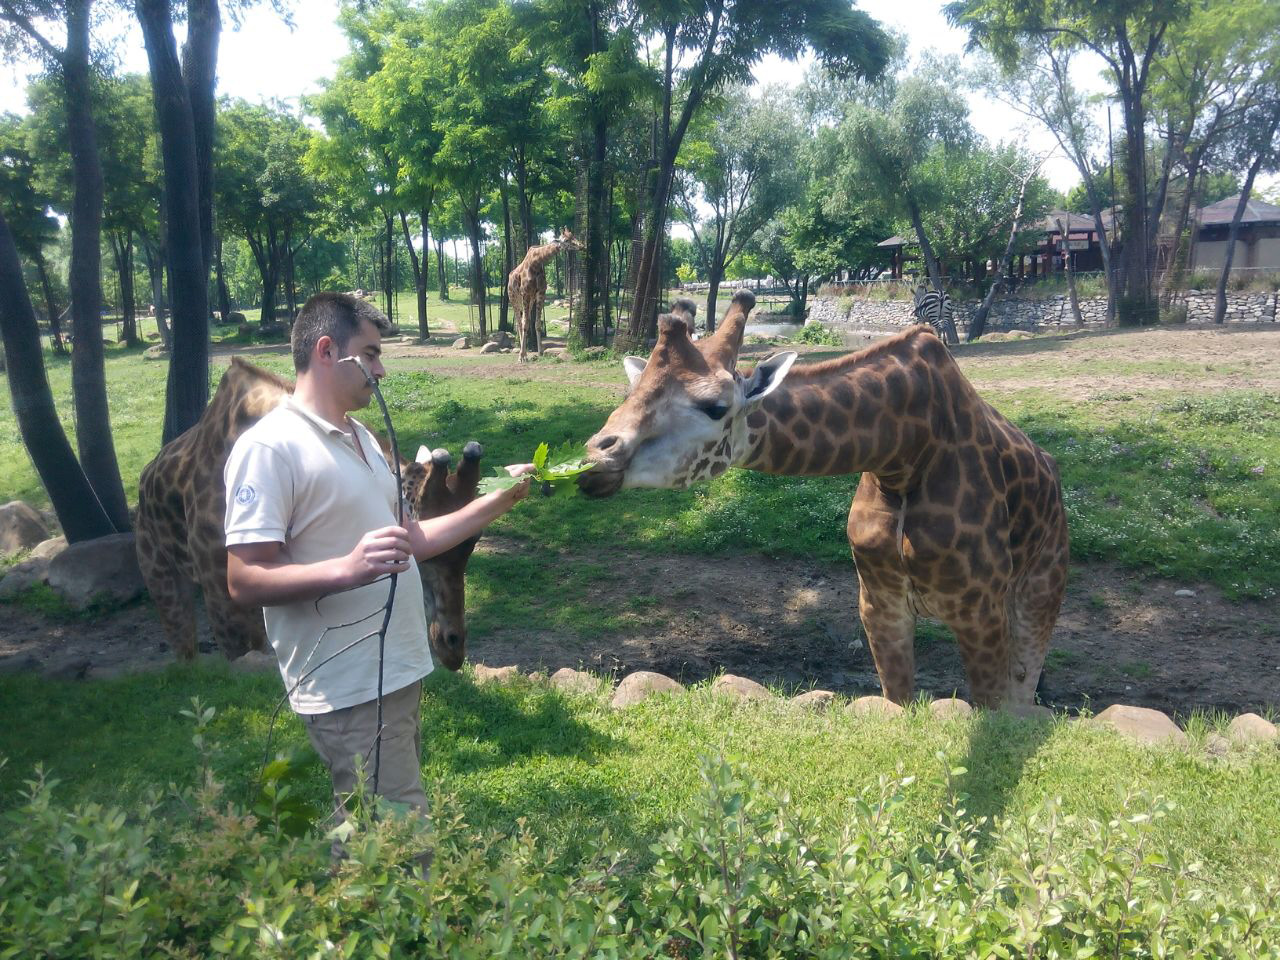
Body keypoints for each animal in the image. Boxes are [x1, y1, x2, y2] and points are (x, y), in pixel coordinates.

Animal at [135, 357, 486, 671]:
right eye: (427, 555)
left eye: (472, 546)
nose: (453, 648)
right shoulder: (223, 600)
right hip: (160, 574)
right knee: (184, 649)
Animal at [507, 228, 584, 362]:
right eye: (566, 240)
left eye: (573, 236)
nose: (581, 246)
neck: (537, 262)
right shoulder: (525, 293)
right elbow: (525, 324)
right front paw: (521, 356)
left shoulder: (540, 294)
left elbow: (537, 324)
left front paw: (540, 352)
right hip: (514, 299)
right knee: (519, 323)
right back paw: (522, 355)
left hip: (530, 301)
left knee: (523, 321)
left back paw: (525, 353)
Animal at [578, 291, 1069, 708]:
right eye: (632, 391)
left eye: (715, 407)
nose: (593, 461)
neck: (906, 455)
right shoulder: (879, 604)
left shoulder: (979, 612)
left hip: (1037, 595)